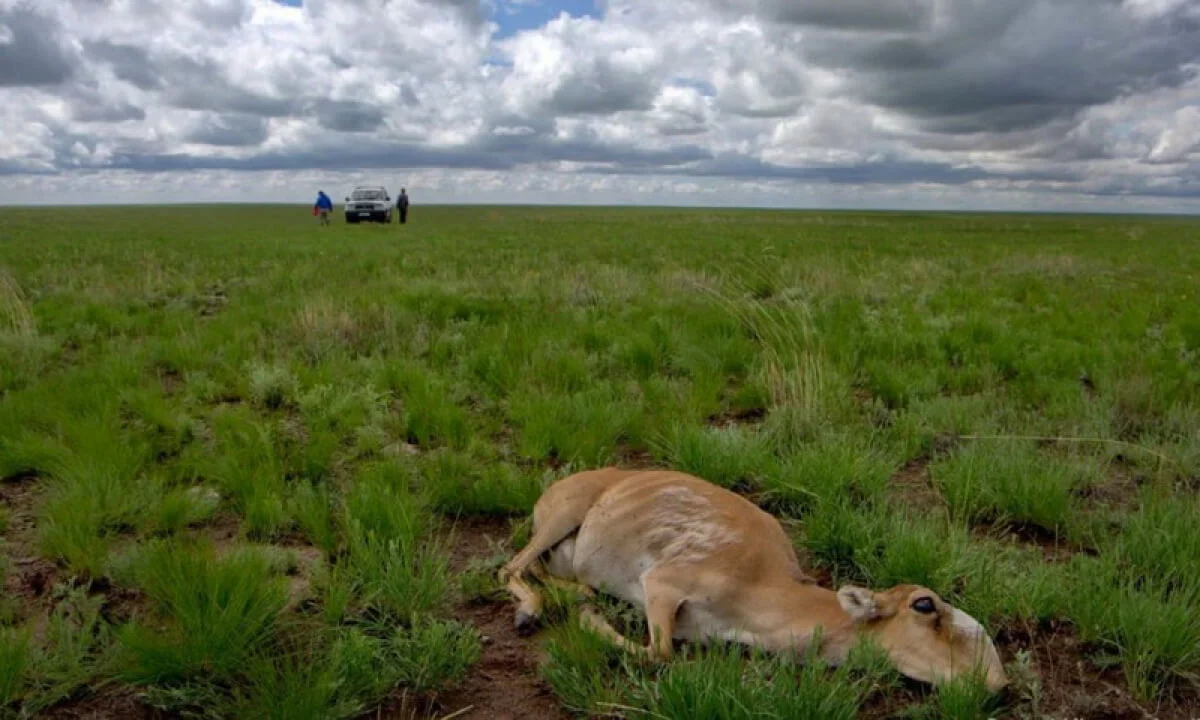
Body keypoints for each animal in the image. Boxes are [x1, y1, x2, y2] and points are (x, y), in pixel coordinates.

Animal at [496, 468, 1012, 691]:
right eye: (924, 604)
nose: (998, 682)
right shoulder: (662, 582)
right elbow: (660, 654)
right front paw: (588, 620)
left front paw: (586, 610)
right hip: (561, 516)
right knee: (510, 565)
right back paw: (532, 611)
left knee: (540, 570)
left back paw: (575, 593)